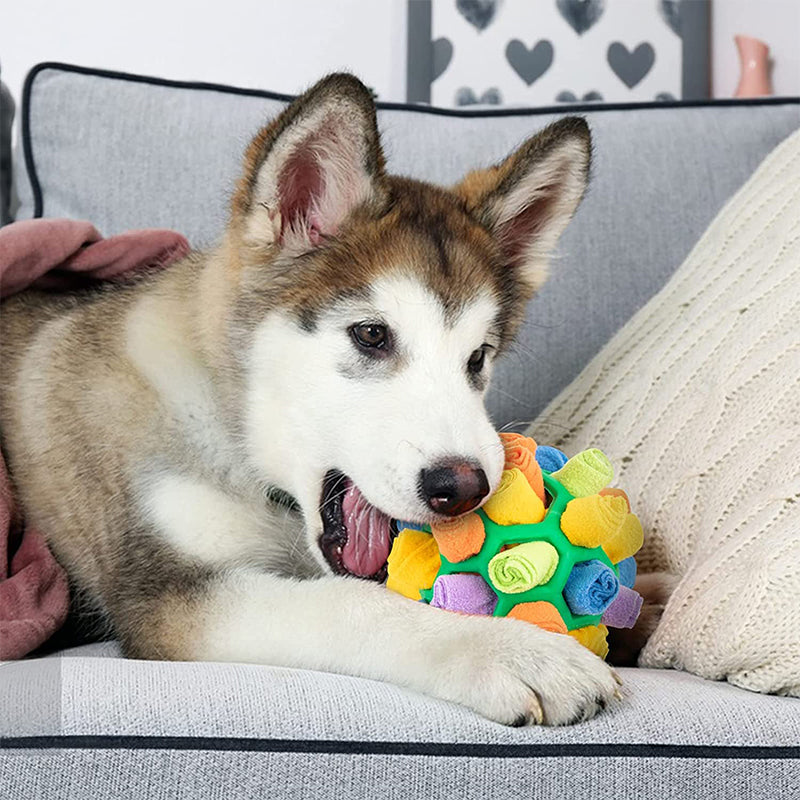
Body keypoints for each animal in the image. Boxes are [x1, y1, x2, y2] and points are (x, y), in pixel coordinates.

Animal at [0, 73, 620, 724]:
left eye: (478, 358)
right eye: (371, 335)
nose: (465, 488)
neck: (236, 441)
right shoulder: (165, 595)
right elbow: (347, 602)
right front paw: (511, 650)